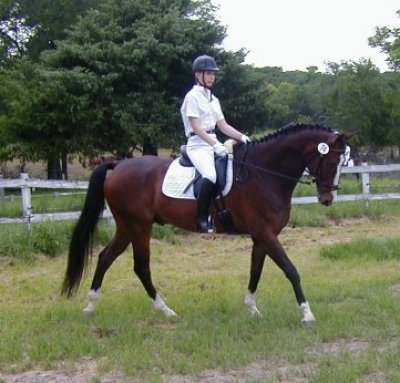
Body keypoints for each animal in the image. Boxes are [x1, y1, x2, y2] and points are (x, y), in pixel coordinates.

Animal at [61, 124, 352, 326]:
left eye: (343, 162)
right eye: (330, 160)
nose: (328, 199)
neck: (263, 173)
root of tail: (118, 165)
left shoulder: (261, 236)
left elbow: (255, 271)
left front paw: (252, 309)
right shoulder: (266, 234)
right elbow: (291, 271)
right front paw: (307, 314)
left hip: (126, 227)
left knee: (105, 258)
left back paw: (90, 307)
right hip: (139, 227)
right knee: (141, 267)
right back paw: (166, 311)